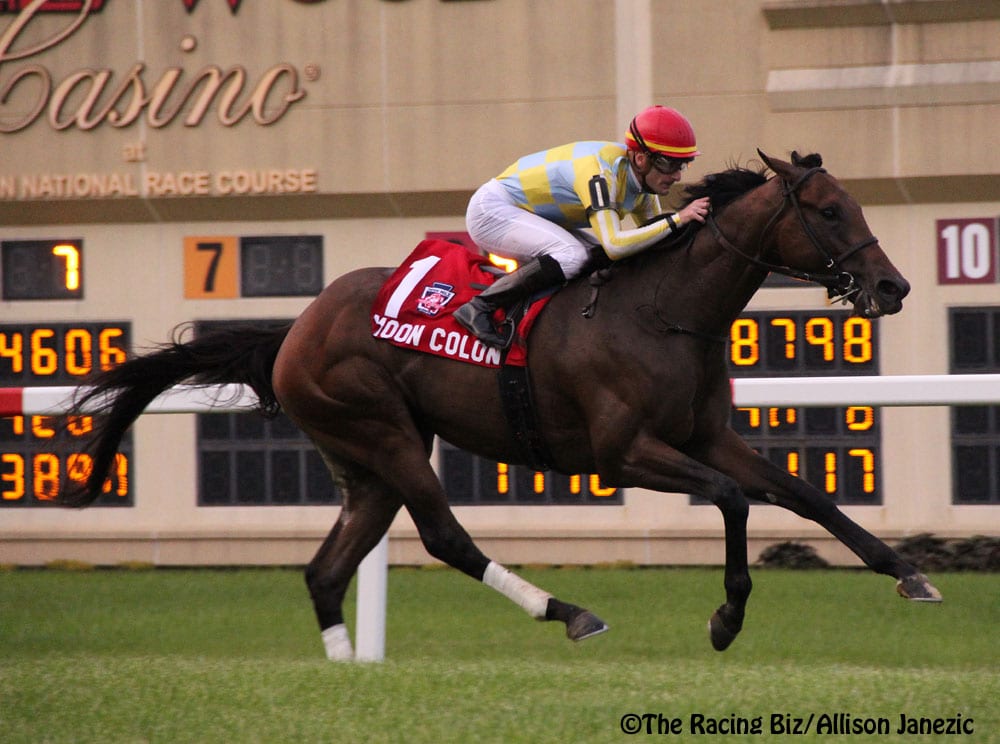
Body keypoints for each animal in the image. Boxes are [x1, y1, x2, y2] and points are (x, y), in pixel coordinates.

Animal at [62, 150, 936, 656]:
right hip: (384, 433)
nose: (892, 286)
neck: (663, 309)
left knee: (325, 571)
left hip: (366, 463)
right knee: (445, 536)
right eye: (828, 210)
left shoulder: (706, 435)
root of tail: (295, 329)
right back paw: (567, 610)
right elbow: (731, 498)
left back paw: (348, 670)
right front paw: (726, 619)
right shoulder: (622, 453)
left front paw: (907, 573)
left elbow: (804, 493)